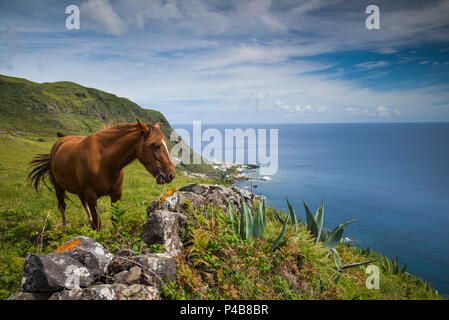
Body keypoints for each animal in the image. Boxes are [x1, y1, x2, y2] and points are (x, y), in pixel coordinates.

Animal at [27, 119, 175, 229]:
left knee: (83, 203)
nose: (171, 175)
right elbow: (98, 223)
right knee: (62, 206)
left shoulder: (116, 194)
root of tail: (58, 144)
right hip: (59, 187)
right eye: (156, 145)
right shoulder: (92, 196)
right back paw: (65, 228)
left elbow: (115, 219)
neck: (104, 162)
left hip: (81, 191)